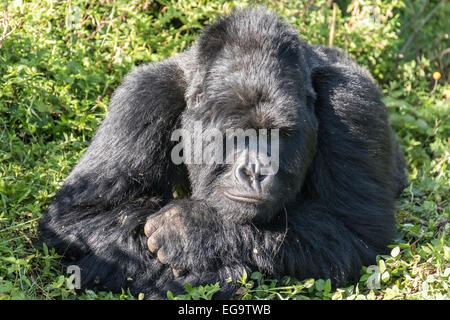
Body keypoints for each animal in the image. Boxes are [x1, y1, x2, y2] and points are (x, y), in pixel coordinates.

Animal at [38, 6, 408, 298]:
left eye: (279, 136)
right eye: (235, 136)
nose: (255, 172)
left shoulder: (351, 102)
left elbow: (356, 234)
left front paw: (192, 229)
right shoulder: (144, 95)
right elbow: (81, 216)